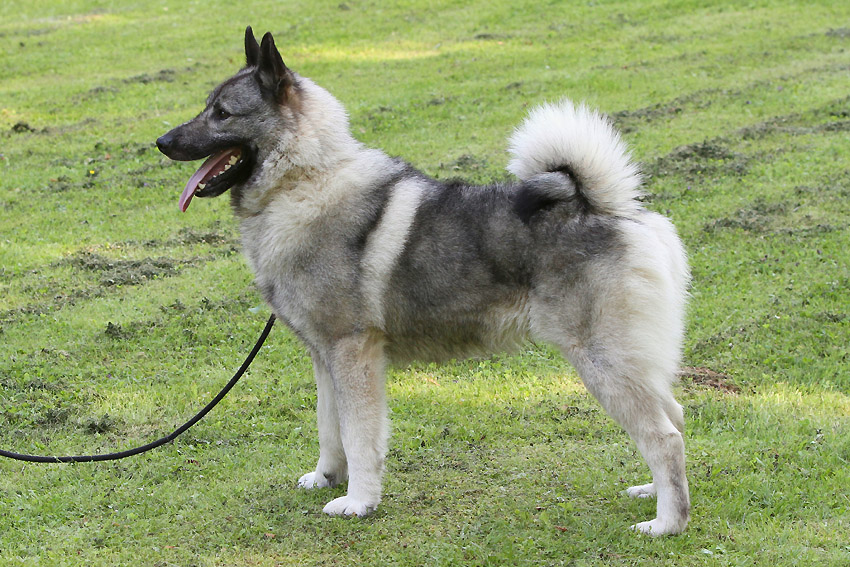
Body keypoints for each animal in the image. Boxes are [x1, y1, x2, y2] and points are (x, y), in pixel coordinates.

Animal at [156, 27, 691, 535]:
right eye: (206, 106)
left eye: (223, 113)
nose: (162, 142)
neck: (306, 180)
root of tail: (609, 208)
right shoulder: (324, 357)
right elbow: (329, 428)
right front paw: (327, 477)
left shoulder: (353, 352)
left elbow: (358, 435)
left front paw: (358, 501)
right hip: (632, 361)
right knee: (676, 417)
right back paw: (654, 492)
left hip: (603, 361)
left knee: (664, 436)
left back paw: (667, 523)